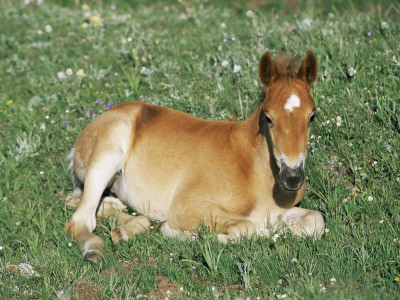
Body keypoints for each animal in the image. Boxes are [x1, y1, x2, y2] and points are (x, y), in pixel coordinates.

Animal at [65, 50, 322, 262]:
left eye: (312, 116)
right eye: (268, 117)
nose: (292, 177)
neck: (253, 170)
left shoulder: (280, 211)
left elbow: (315, 220)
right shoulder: (186, 206)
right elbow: (246, 226)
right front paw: (177, 231)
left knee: (96, 203)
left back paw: (125, 229)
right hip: (107, 153)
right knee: (80, 219)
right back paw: (95, 249)